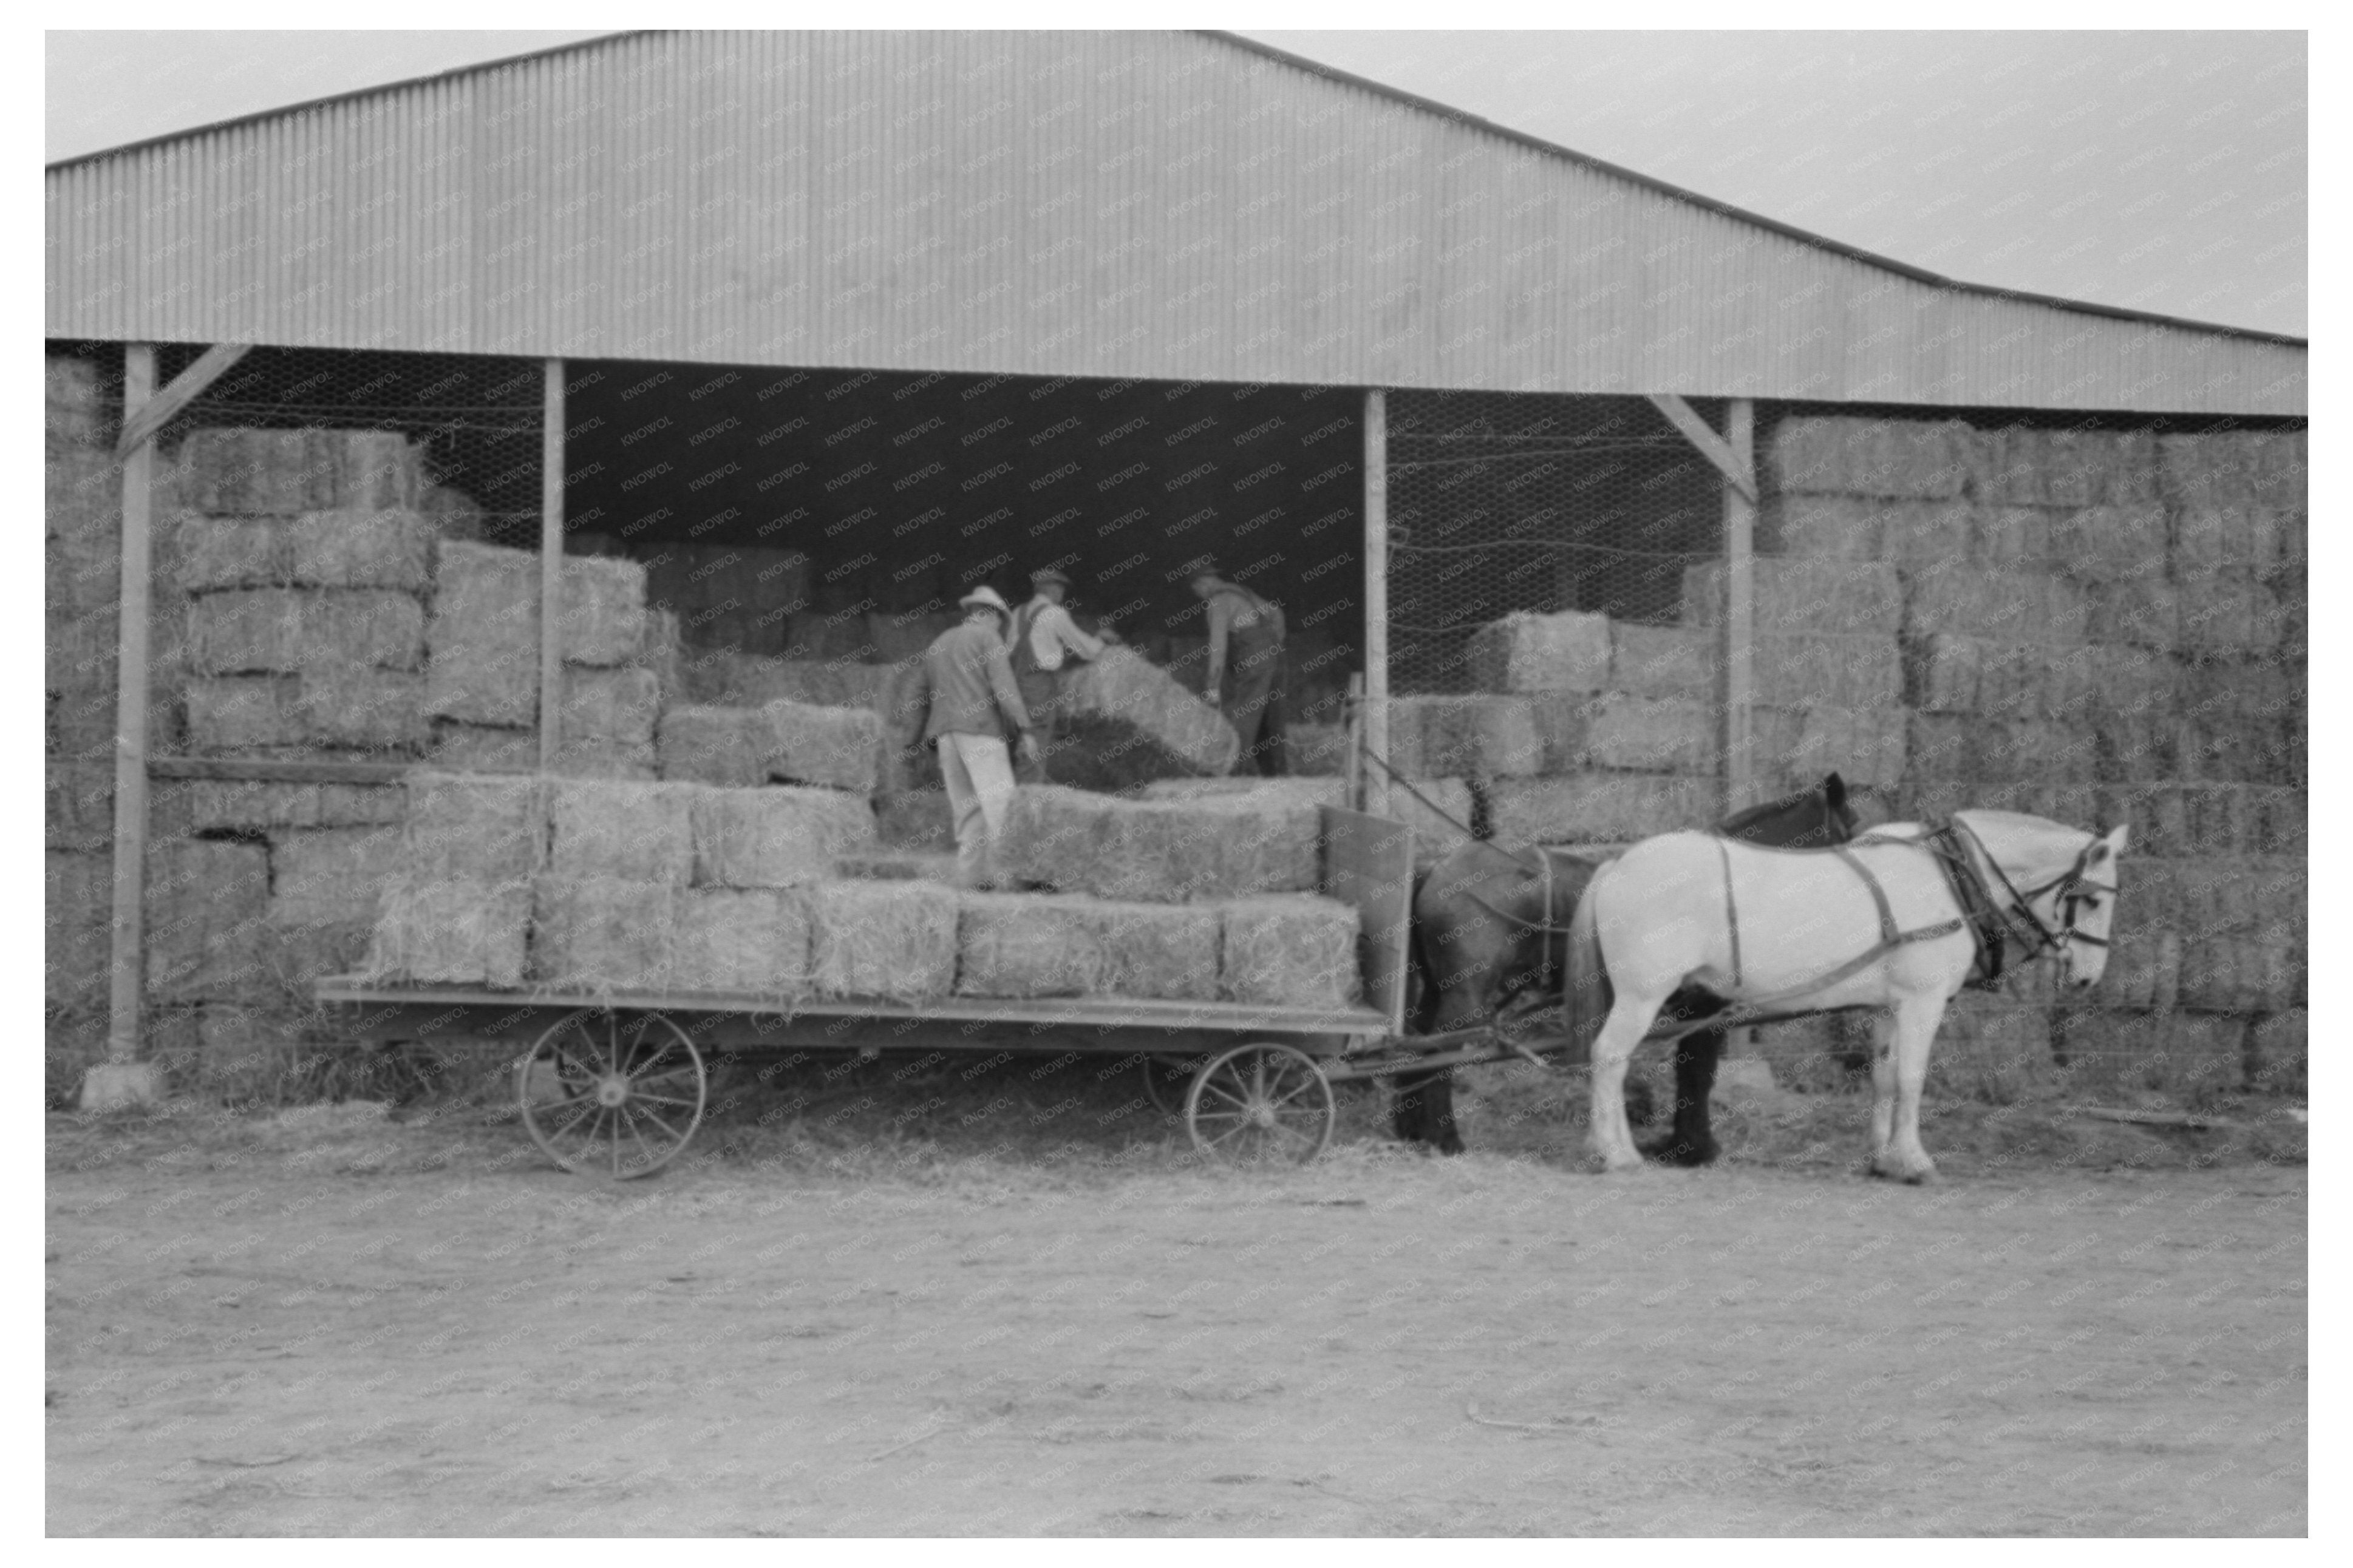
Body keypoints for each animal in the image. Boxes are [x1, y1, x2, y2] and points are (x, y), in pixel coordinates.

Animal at [1393, 775, 1854, 1161]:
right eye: (1850, 832)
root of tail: (1439, 867)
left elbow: (1688, 1070)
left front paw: (1680, 1145)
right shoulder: (1705, 1007)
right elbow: (1698, 1072)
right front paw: (1696, 1147)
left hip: (1436, 990)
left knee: (1416, 1046)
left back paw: (1412, 1130)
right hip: (1465, 995)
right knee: (1438, 1054)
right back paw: (1446, 1139)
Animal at [1562, 818, 2136, 1184]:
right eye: (2092, 898)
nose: (2087, 978)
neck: (1948, 883)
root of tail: (1617, 863)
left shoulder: (1888, 1007)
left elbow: (1883, 1079)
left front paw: (1882, 1160)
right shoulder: (1923, 1001)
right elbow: (1911, 1080)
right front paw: (1916, 1161)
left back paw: (1608, 1148)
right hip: (1642, 995)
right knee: (1609, 1057)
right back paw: (1616, 1154)